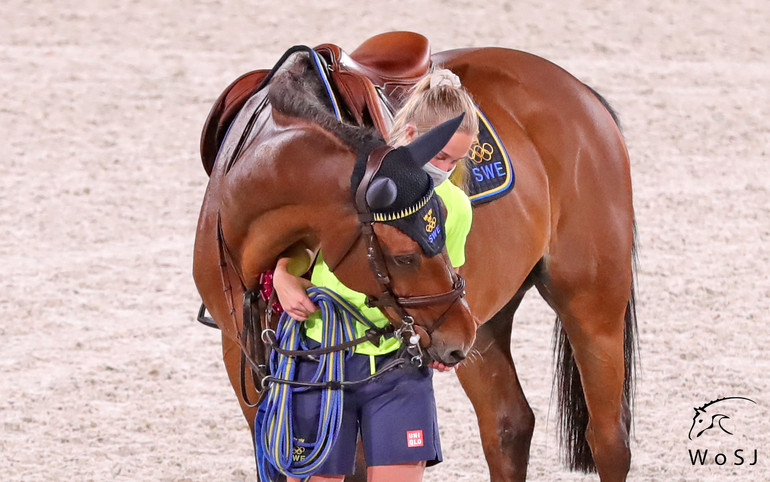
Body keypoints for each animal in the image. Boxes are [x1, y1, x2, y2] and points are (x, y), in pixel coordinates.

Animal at [192, 34, 636, 482]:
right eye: (405, 257)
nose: (457, 335)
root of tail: (579, 91)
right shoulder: (244, 363)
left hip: (588, 305)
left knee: (607, 438)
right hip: (485, 325)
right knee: (508, 424)